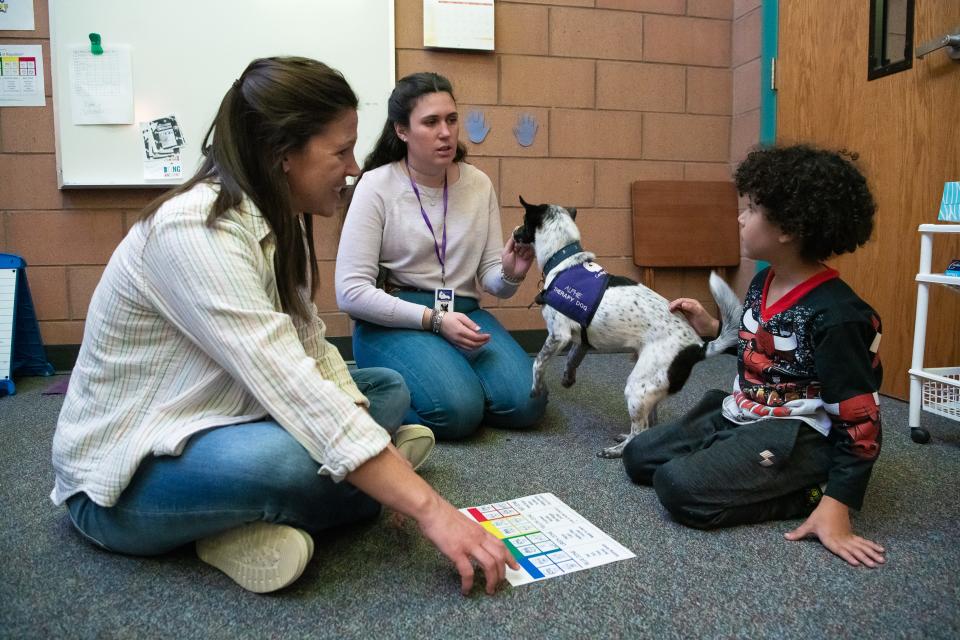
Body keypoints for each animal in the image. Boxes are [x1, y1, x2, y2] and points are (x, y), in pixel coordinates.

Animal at [512, 198, 740, 458]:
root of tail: (699, 347)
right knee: (649, 426)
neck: (564, 261)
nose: (514, 232)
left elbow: (538, 362)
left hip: (636, 387)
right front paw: (568, 378)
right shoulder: (581, 340)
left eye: (523, 221)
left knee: (639, 431)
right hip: (650, 389)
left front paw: (536, 389)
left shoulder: (558, 335)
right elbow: (572, 359)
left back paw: (616, 450)